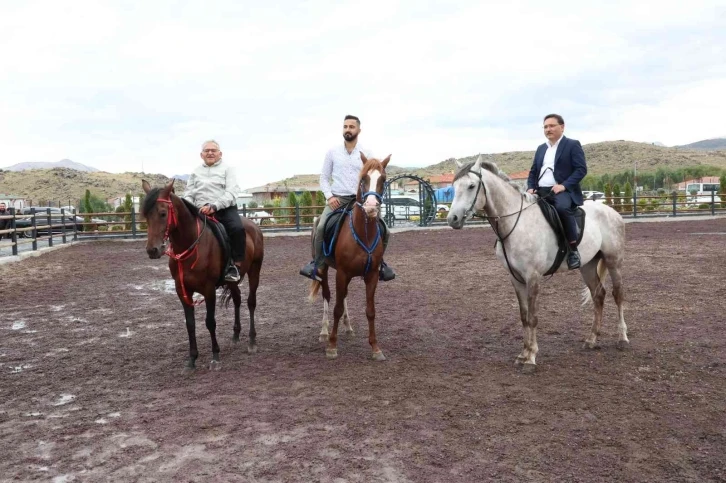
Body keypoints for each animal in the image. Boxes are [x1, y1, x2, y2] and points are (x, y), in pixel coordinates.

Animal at [140, 180, 264, 372]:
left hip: (254, 271)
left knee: (251, 302)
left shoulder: (209, 289)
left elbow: (210, 322)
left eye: (162, 213)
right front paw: (192, 359)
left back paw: (252, 341)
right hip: (233, 281)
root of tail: (255, 227)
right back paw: (236, 335)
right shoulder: (182, 290)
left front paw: (215, 357)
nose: (152, 250)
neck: (191, 245)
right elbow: (190, 324)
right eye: (145, 215)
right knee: (237, 299)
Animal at [312, 153, 392, 362]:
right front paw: (332, 346)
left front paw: (375, 348)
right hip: (323, 269)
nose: (371, 207)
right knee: (327, 296)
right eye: (363, 178)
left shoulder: (371, 275)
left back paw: (348, 327)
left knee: (344, 296)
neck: (363, 233)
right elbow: (337, 308)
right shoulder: (342, 273)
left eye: (383, 179)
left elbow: (370, 311)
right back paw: (324, 332)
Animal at [446, 157, 628, 372]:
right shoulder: (516, 279)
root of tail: (611, 211)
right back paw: (591, 340)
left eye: (471, 186)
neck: (516, 224)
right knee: (598, 296)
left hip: (613, 261)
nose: (452, 219)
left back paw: (622, 338)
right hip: (588, 266)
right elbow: (524, 316)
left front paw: (531, 358)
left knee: (618, 295)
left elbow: (533, 317)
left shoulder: (533, 277)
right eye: (454, 187)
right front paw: (523, 354)